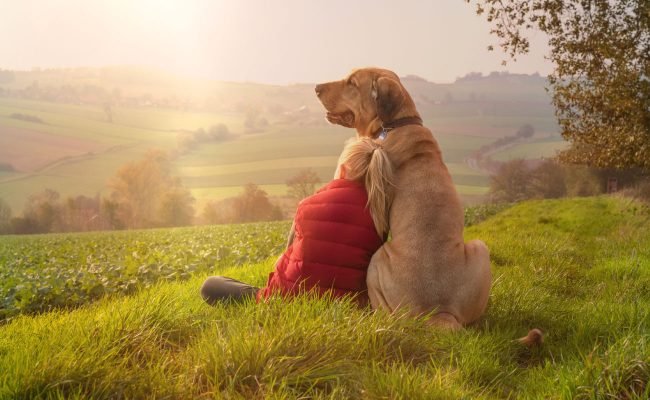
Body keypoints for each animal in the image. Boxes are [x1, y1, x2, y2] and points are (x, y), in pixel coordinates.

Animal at [316, 67, 492, 328]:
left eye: (352, 83)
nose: (316, 88)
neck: (395, 123)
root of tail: (439, 312)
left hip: (378, 260)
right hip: (481, 248)